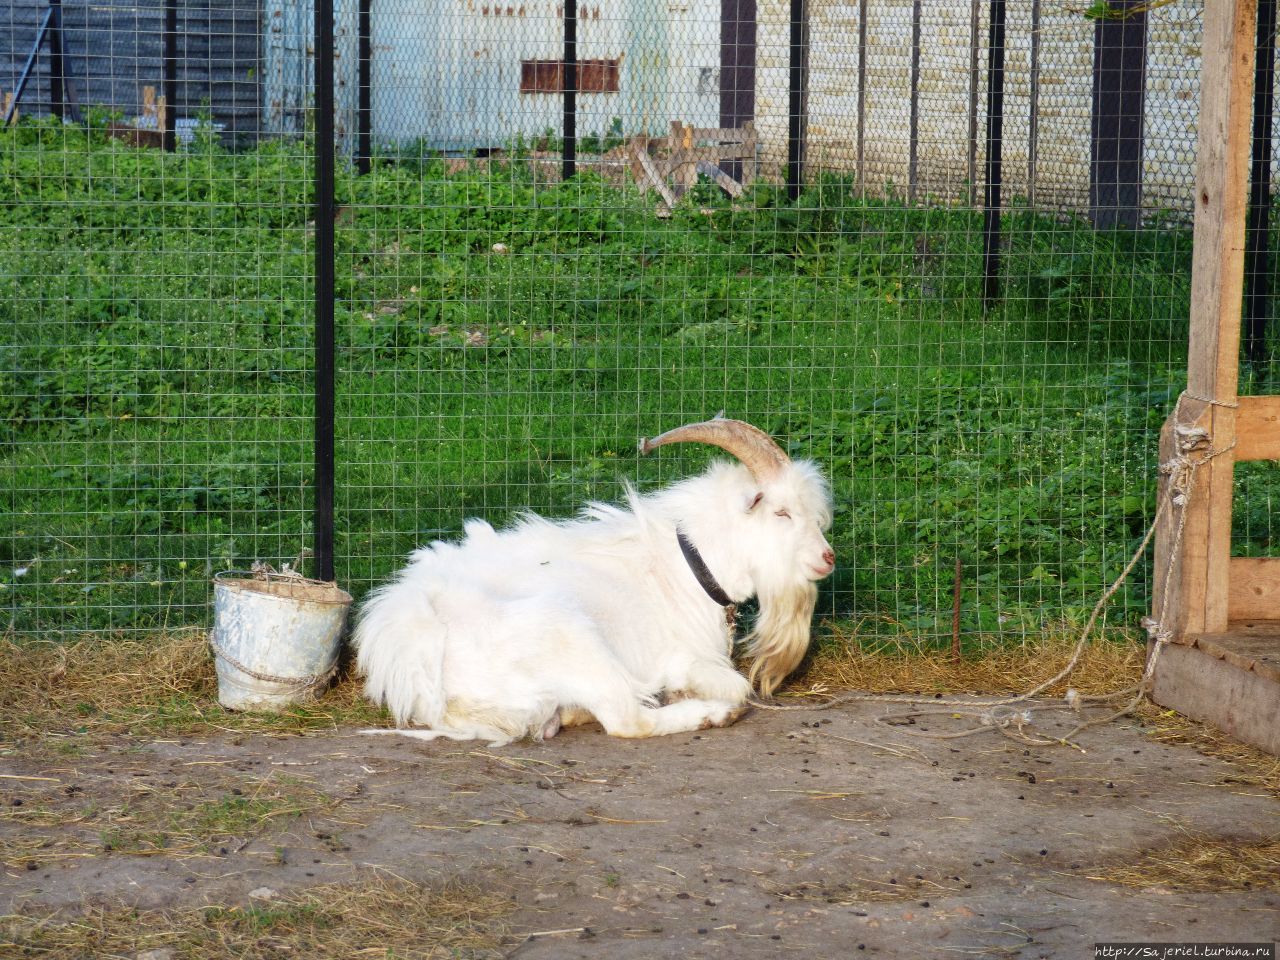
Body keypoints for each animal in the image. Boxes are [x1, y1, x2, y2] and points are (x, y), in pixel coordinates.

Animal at [355, 417, 834, 747]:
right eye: (782, 513)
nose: (827, 558)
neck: (681, 569)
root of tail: (417, 658)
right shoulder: (680, 656)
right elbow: (736, 686)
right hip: (569, 634)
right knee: (627, 719)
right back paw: (706, 713)